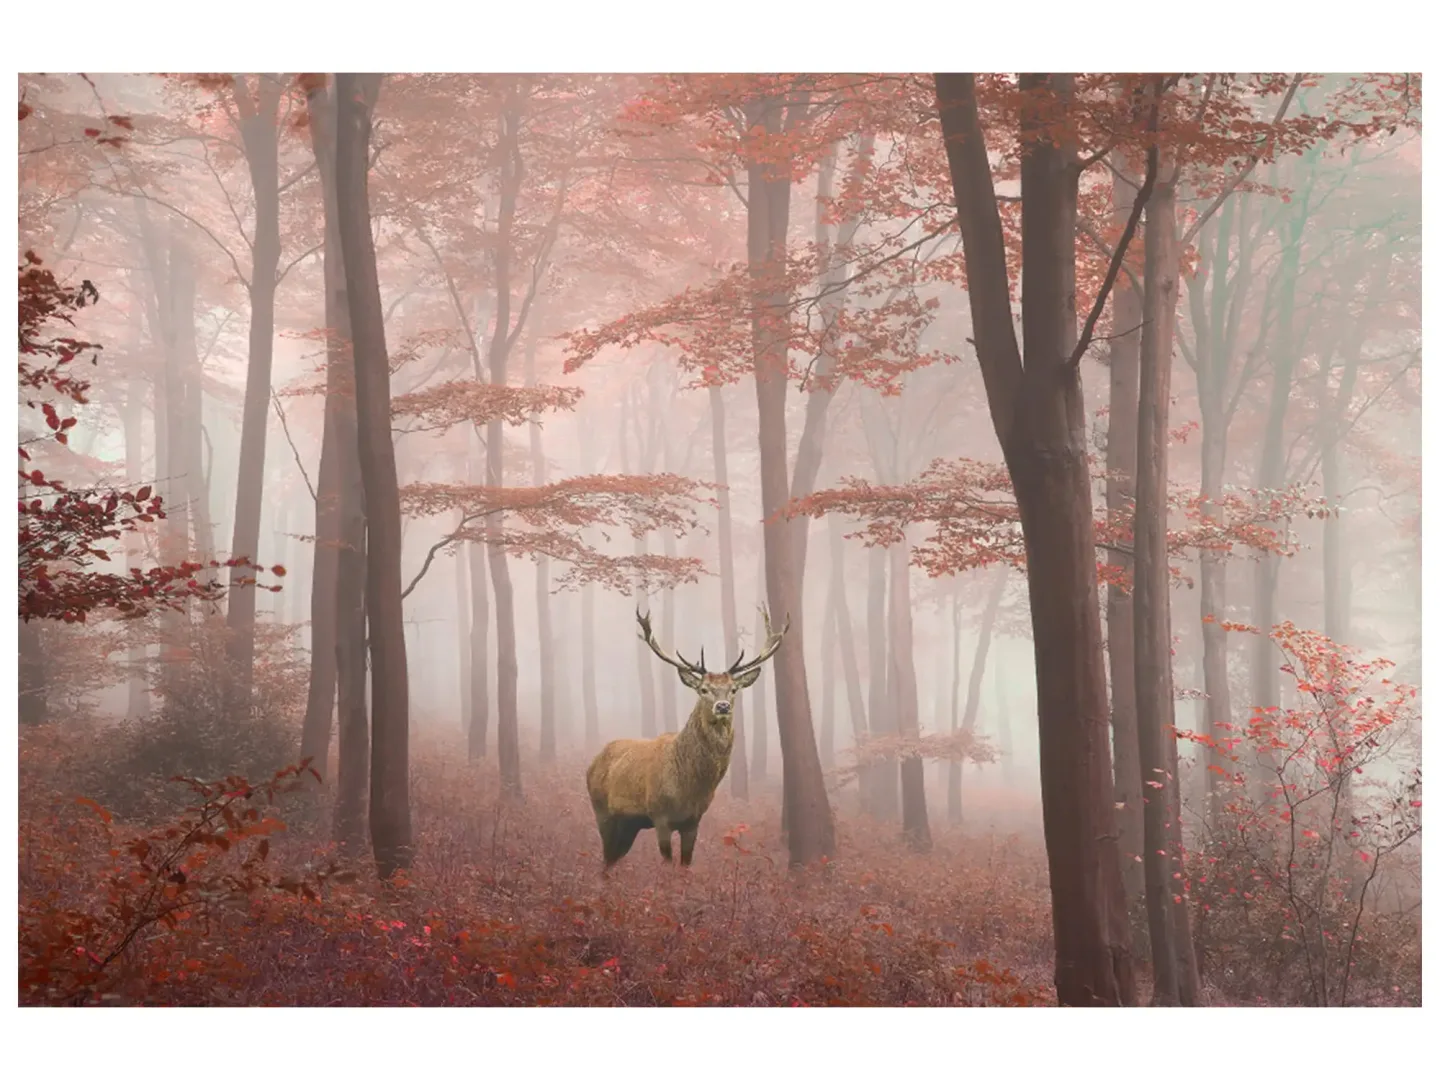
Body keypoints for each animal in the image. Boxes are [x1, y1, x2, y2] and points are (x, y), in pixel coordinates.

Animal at [586, 605, 788, 870]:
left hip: (629, 824)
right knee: (605, 857)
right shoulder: (659, 815)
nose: (722, 706)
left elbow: (685, 864)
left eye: (733, 689)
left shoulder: (694, 820)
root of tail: (592, 763)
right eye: (703, 689)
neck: (689, 787)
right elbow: (667, 862)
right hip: (601, 810)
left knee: (611, 859)